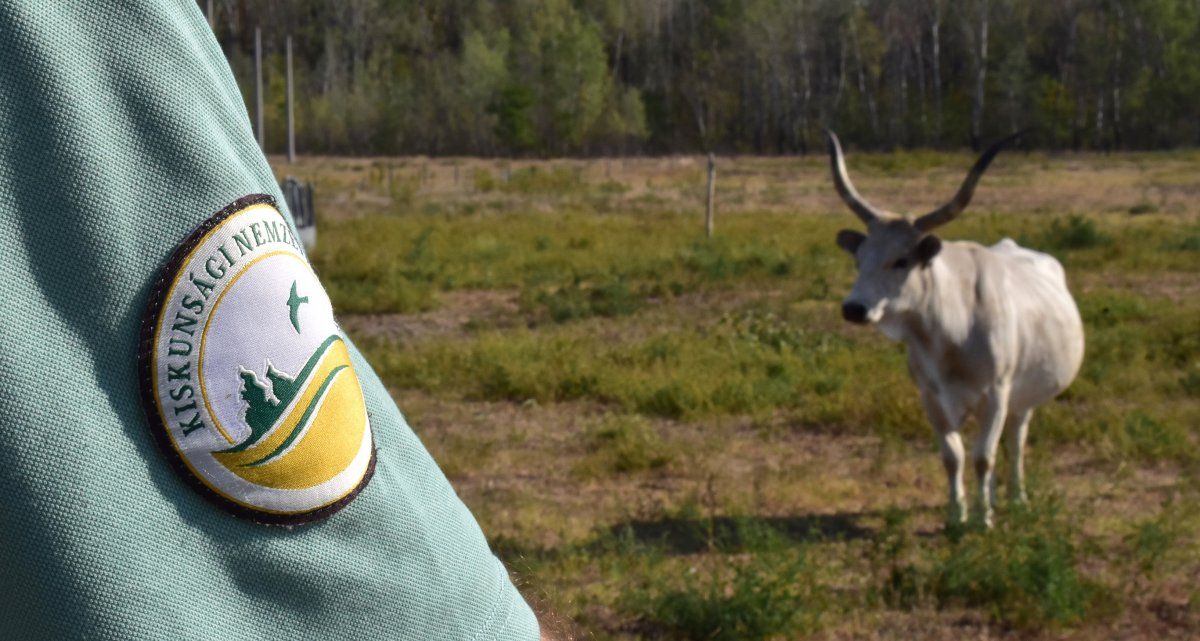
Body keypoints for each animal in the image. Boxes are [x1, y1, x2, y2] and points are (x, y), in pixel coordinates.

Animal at [825, 132, 1089, 528]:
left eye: (902, 260)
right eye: (859, 258)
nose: (854, 308)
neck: (949, 334)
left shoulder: (996, 394)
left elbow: (983, 457)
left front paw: (982, 521)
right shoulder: (931, 398)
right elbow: (953, 456)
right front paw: (957, 515)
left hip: (1023, 398)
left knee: (1015, 440)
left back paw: (1017, 498)